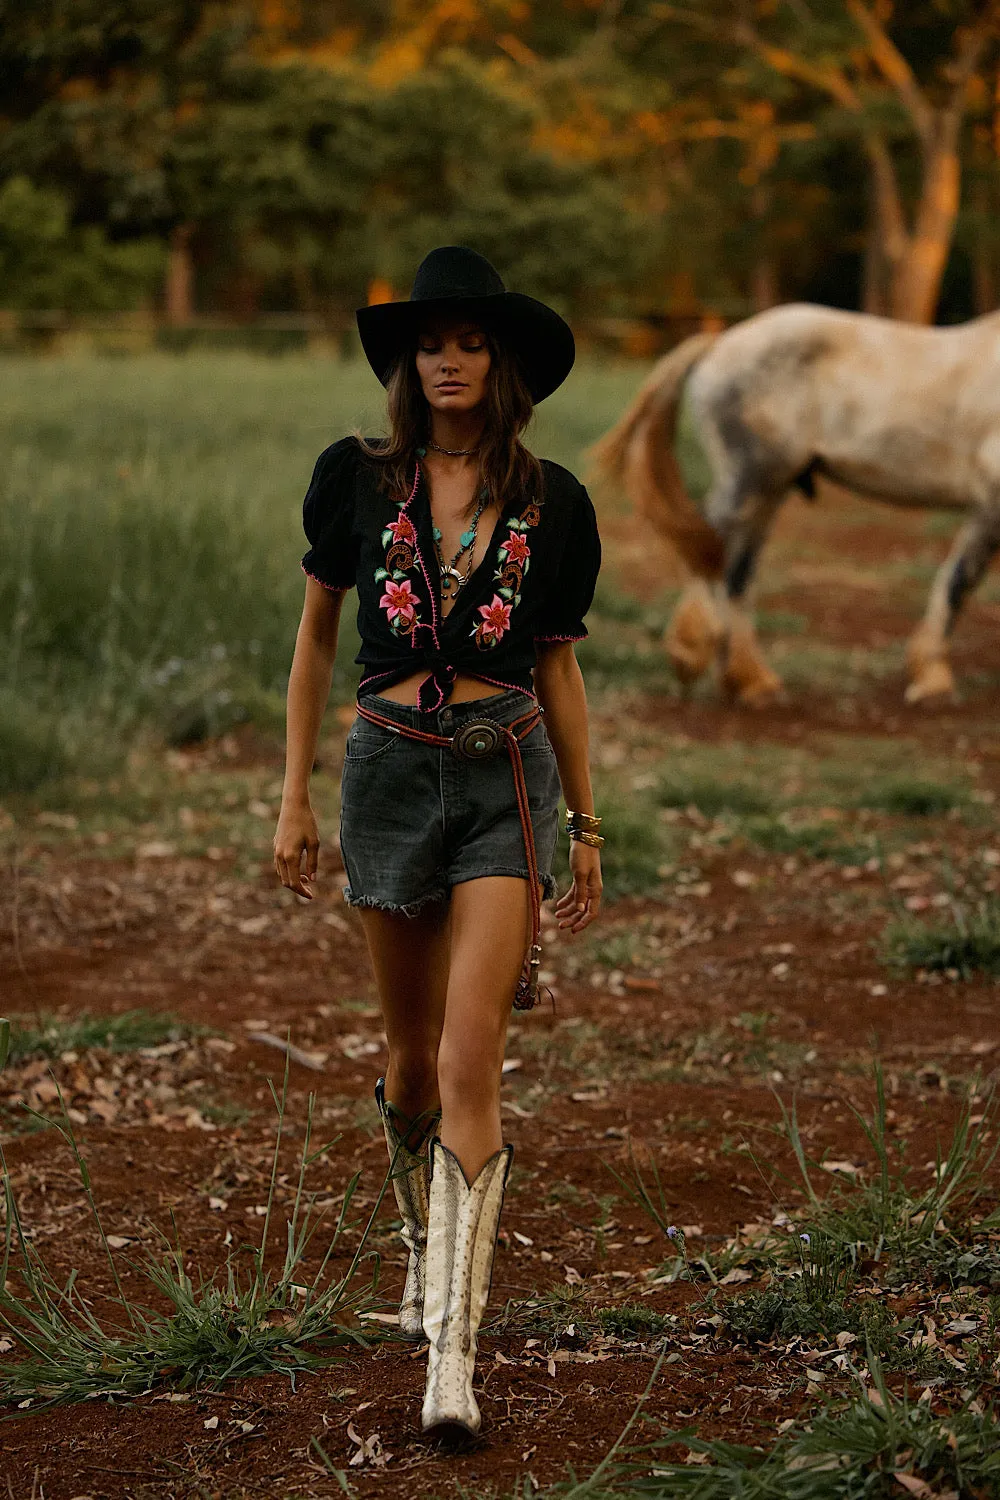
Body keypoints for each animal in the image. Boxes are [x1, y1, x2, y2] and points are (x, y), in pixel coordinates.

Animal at [590, 304, 1000, 708]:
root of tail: (720, 342)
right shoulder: (989, 505)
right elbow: (959, 581)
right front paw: (932, 680)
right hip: (750, 485)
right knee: (712, 553)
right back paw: (695, 654)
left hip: (767, 495)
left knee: (735, 571)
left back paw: (750, 680)